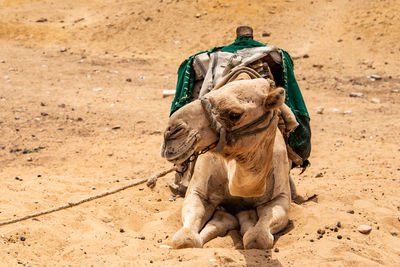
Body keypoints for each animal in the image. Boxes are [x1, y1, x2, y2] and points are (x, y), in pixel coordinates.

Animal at [162, 74, 294, 250]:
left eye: (234, 115)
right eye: (211, 91)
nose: (171, 132)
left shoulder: (280, 198)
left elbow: (258, 237)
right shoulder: (197, 192)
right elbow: (185, 239)